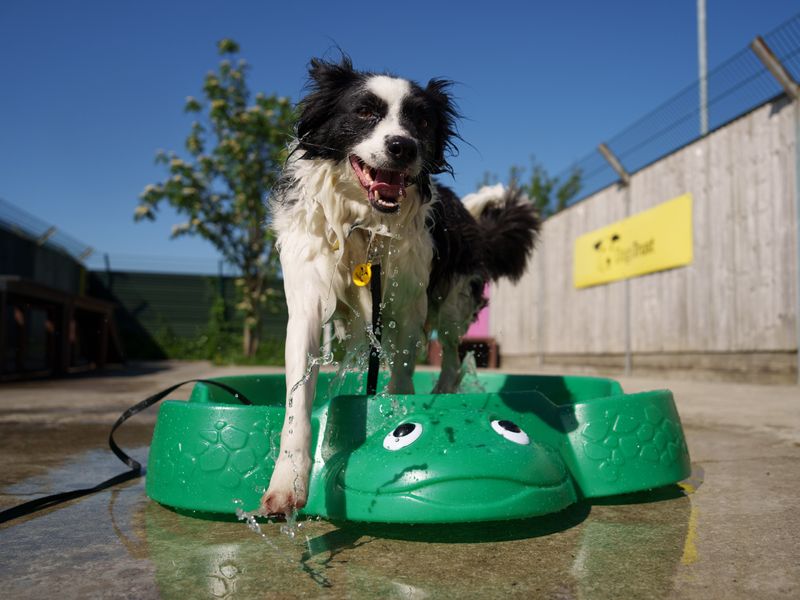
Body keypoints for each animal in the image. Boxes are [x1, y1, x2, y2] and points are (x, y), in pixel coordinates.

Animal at [260, 57, 536, 516]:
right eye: (364, 112)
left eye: (421, 121)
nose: (402, 147)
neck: (363, 223)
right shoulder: (307, 303)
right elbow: (298, 398)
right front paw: (287, 483)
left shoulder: (407, 307)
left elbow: (403, 378)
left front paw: (398, 421)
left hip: (451, 306)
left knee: (451, 359)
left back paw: (443, 392)